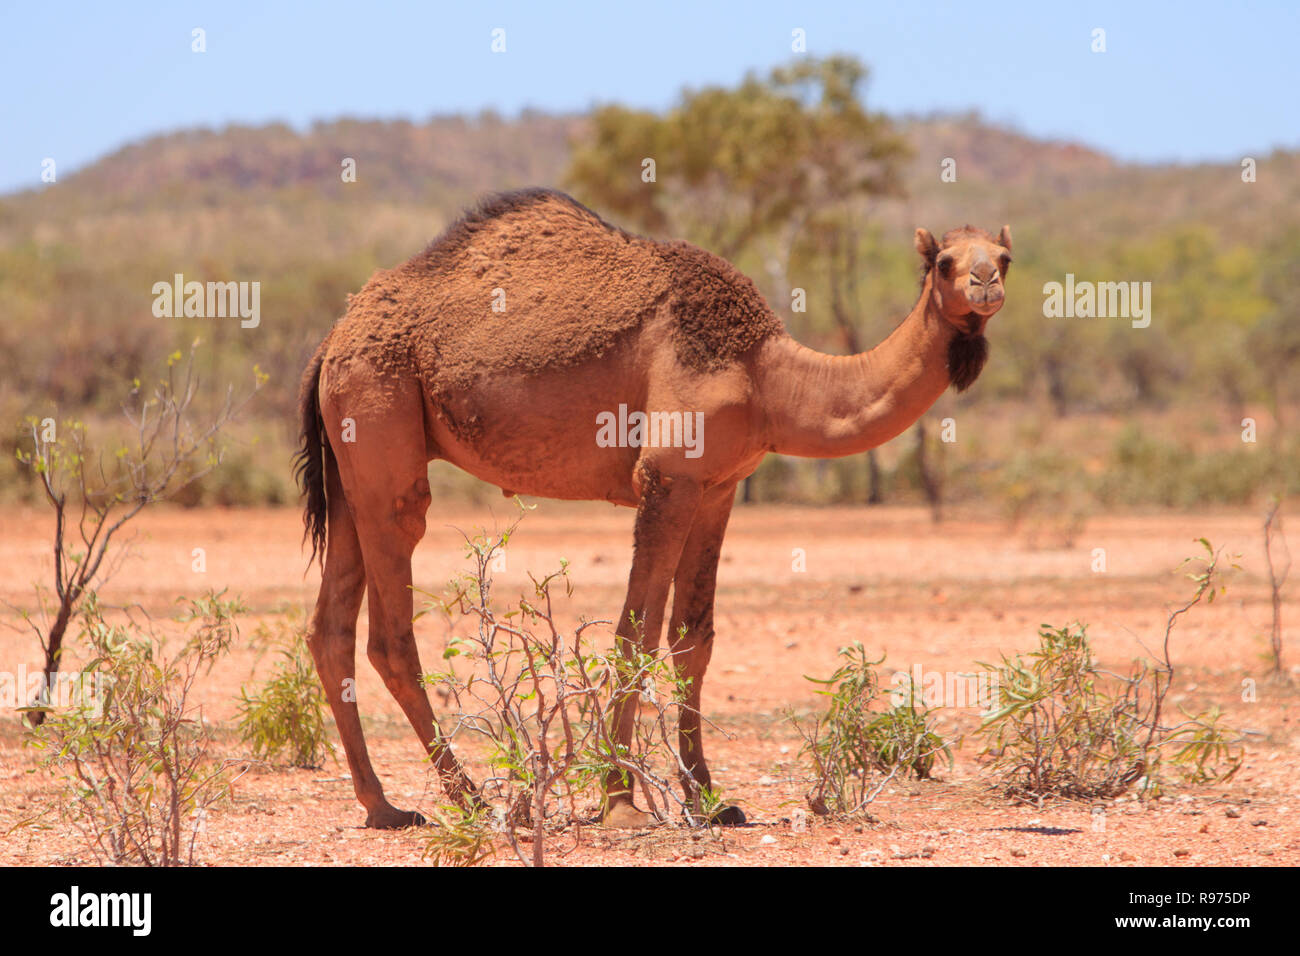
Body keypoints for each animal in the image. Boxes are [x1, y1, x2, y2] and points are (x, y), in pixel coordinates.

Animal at [295, 187, 1013, 832]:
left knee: (330, 628)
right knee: (390, 627)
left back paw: (384, 807)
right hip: (381, 417)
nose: (985, 285)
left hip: (351, 462)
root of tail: (331, 339)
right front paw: (619, 801)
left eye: (1005, 256)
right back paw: (473, 800)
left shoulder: (718, 484)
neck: (766, 374)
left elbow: (693, 638)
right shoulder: (668, 474)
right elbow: (633, 633)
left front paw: (709, 800)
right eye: (945, 261)